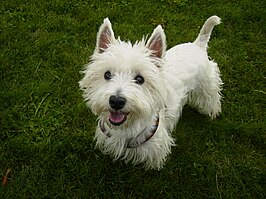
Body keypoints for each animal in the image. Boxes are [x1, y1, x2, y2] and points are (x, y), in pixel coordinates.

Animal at [79, 15, 222, 169]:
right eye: (107, 74)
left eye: (140, 79)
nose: (116, 101)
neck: (126, 128)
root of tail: (198, 45)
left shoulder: (155, 144)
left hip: (207, 83)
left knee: (212, 96)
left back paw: (213, 111)